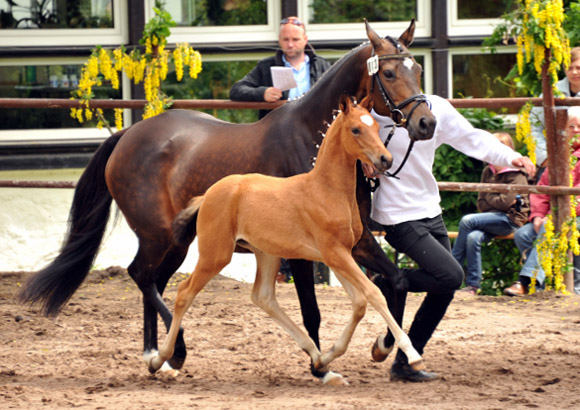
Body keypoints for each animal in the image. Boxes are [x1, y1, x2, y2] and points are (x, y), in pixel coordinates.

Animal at [145, 95, 426, 384]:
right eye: (355, 129)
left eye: (377, 127)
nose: (386, 159)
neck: (327, 190)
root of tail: (209, 193)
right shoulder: (335, 253)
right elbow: (374, 294)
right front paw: (412, 354)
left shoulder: (339, 255)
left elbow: (359, 302)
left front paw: (328, 357)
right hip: (216, 254)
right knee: (183, 292)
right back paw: (159, 359)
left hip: (267, 253)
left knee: (263, 297)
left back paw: (316, 355)